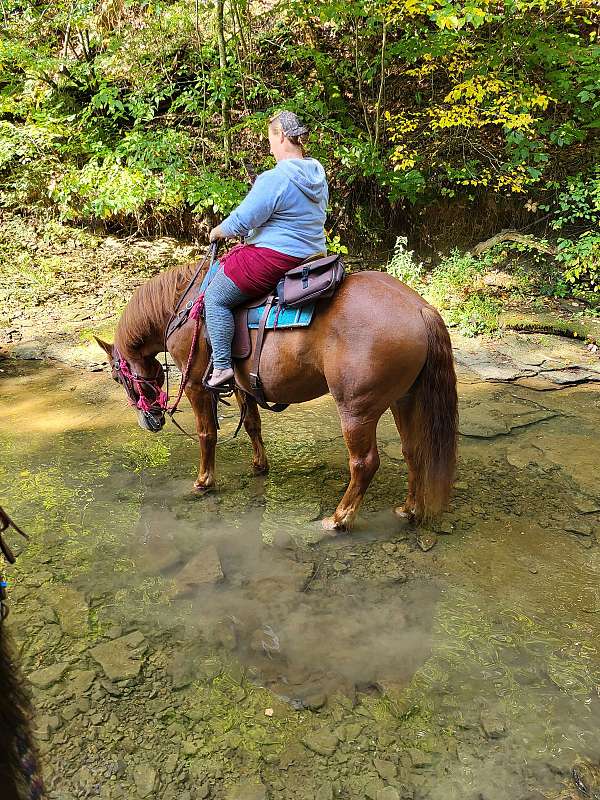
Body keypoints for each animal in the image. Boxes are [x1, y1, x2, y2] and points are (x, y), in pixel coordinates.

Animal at [96, 260, 458, 532]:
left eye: (116, 375)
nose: (150, 421)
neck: (181, 309)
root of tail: (419, 308)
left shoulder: (198, 386)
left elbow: (206, 434)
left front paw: (202, 482)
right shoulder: (241, 385)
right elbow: (252, 425)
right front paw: (259, 466)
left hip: (356, 409)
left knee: (364, 463)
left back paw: (338, 519)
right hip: (404, 399)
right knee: (414, 450)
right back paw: (409, 510)